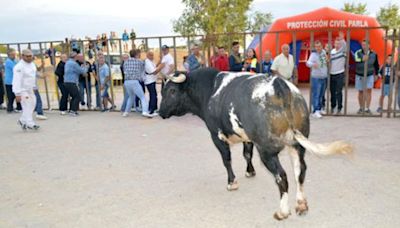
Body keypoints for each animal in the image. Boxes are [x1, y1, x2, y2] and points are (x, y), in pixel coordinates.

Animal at [158, 68, 352, 221]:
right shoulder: (248, 137)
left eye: (172, 91)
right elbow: (247, 153)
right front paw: (250, 171)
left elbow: (226, 159)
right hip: (297, 145)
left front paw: (232, 182)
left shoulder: (216, 135)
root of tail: (280, 85)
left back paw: (282, 212)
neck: (210, 90)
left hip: (267, 150)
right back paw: (301, 205)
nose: (160, 112)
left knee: (282, 176)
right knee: (300, 171)